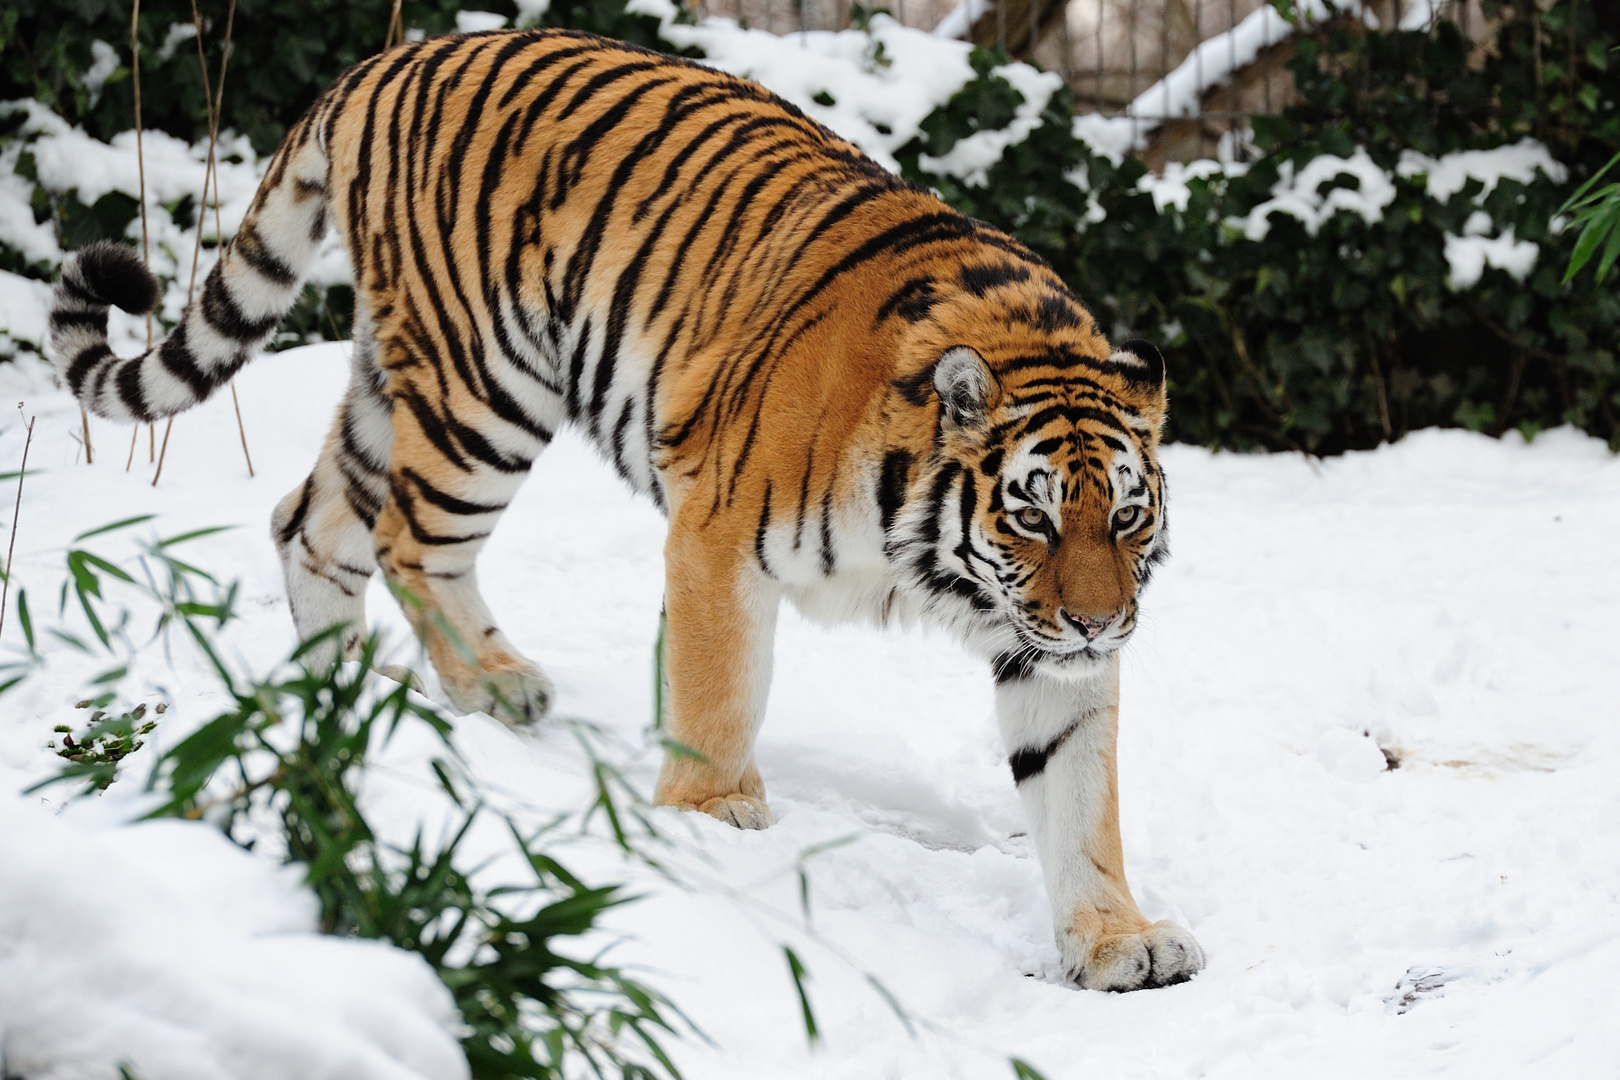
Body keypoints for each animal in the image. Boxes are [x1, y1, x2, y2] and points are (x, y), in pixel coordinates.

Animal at [50, 27, 1205, 990]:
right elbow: (718, 693)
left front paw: (1118, 941)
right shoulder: (718, 538)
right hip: (482, 385)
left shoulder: (1040, 646)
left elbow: (1077, 793)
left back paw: (334, 711)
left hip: (395, 382)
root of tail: (392, 59)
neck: (935, 551)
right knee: (407, 540)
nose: (1100, 622)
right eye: (1032, 516)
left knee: (312, 520)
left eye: (1126, 518)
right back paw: (494, 689)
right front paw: (713, 815)